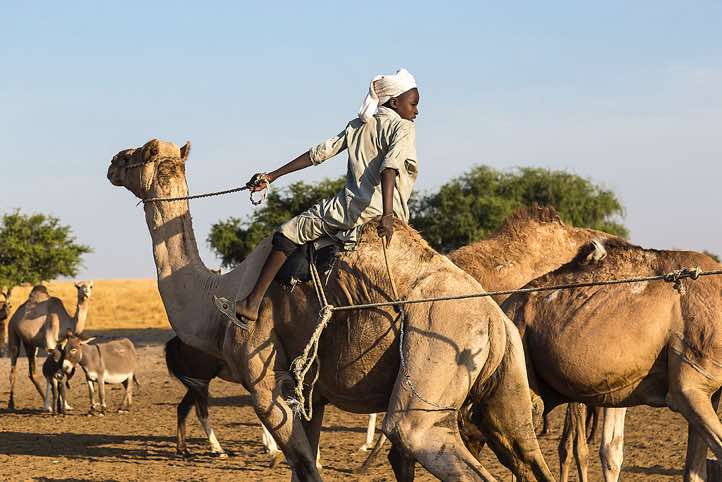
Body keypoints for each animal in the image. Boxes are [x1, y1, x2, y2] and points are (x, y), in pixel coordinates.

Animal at [7, 281, 93, 410]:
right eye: (78, 287)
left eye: (90, 286)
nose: (86, 292)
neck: (65, 321)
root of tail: (14, 315)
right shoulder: (50, 342)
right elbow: (53, 370)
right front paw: (58, 404)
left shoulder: (62, 343)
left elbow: (61, 370)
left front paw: (65, 405)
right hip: (12, 331)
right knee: (13, 364)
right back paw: (11, 404)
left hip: (30, 343)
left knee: (32, 372)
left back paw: (45, 403)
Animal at [107, 138, 554, 481]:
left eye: (141, 154)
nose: (113, 161)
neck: (219, 297)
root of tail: (493, 320)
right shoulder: (312, 394)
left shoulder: (266, 382)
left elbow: (306, 466)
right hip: (507, 383)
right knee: (526, 448)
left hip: (434, 361)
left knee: (415, 435)